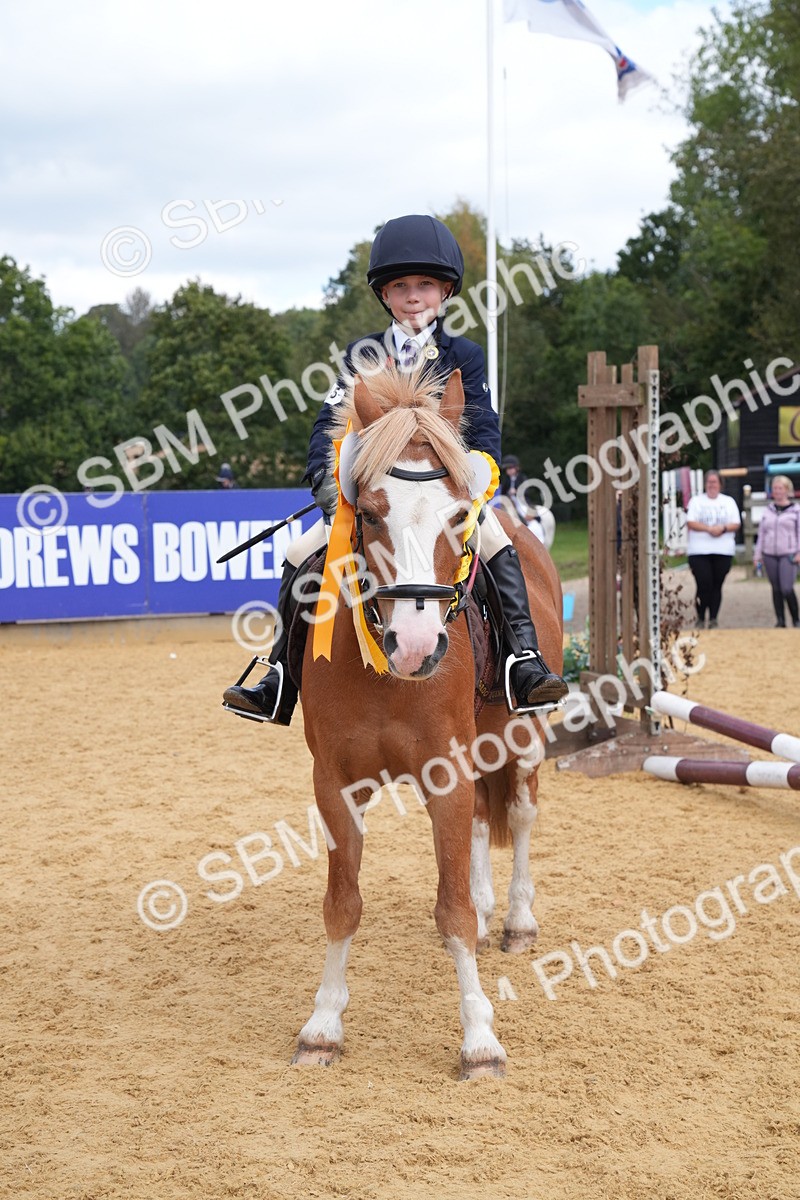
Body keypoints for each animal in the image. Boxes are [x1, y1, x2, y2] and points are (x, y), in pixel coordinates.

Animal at [293, 365, 563, 1080]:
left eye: (456, 514)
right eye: (370, 512)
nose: (416, 646)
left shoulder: (446, 776)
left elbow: (454, 913)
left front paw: (480, 1040)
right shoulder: (336, 786)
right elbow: (343, 904)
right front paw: (322, 1027)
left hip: (523, 737)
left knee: (520, 812)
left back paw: (517, 920)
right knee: (483, 826)